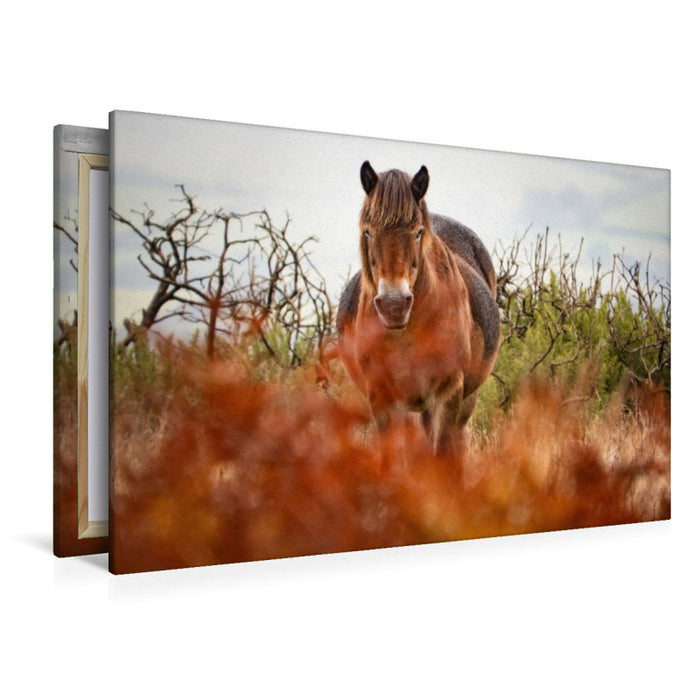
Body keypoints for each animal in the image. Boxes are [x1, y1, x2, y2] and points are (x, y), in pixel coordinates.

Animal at [337, 161, 500, 458]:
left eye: (417, 232)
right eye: (368, 231)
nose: (394, 305)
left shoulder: (448, 393)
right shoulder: (382, 397)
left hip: (465, 400)